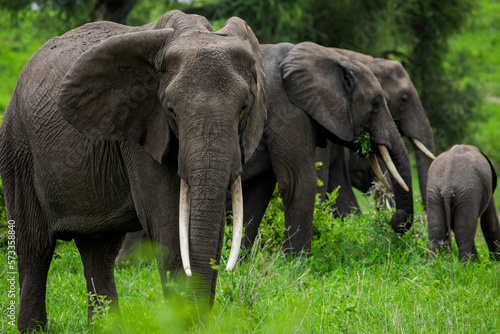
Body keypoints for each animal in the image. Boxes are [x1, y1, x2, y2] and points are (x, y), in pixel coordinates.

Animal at [0, 10, 268, 332]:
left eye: (244, 106)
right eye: (170, 109)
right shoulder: (141, 131)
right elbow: (167, 222)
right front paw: (181, 324)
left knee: (99, 249)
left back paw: (105, 327)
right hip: (18, 146)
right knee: (35, 245)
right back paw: (33, 328)